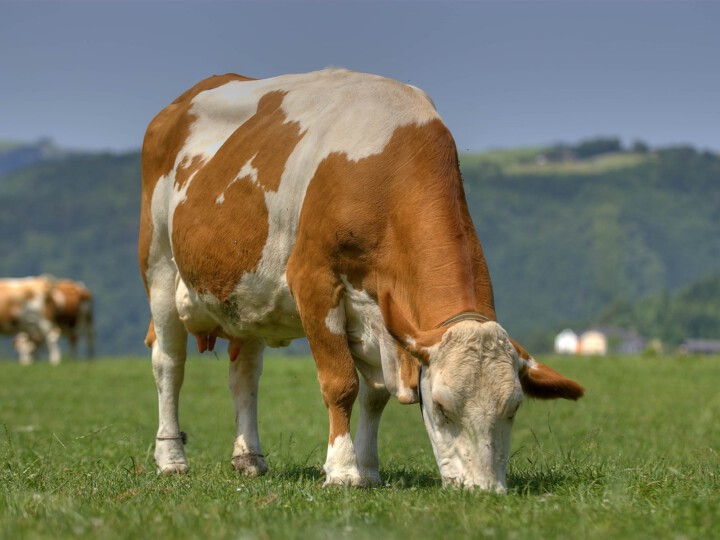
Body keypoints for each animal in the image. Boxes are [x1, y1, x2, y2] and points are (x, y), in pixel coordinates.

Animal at [139, 69, 584, 492]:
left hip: (244, 293)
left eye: (512, 409)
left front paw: (369, 469)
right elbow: (341, 384)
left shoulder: (382, 316)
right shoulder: (314, 281)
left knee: (245, 372)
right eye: (441, 407)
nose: (485, 489)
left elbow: (377, 394)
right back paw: (171, 458)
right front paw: (343, 470)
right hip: (158, 261)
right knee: (168, 363)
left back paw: (249, 457)